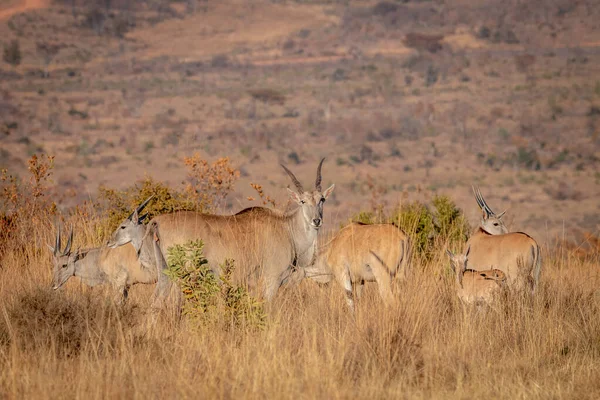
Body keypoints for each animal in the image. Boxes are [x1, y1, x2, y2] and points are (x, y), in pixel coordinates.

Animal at [106, 159, 332, 300]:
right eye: (302, 201)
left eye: (322, 199)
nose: (317, 220)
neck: (286, 228)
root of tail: (157, 221)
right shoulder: (271, 281)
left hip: (165, 275)